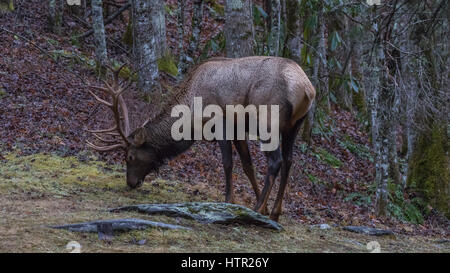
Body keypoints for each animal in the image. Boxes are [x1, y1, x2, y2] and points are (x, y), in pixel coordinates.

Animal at [86, 56, 314, 220]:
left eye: (130, 157)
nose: (131, 183)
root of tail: (307, 89)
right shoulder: (238, 129)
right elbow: (247, 165)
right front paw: (261, 203)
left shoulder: (221, 122)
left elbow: (228, 163)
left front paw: (231, 200)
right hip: (294, 126)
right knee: (289, 161)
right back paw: (274, 211)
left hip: (268, 121)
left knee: (276, 161)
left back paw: (258, 209)